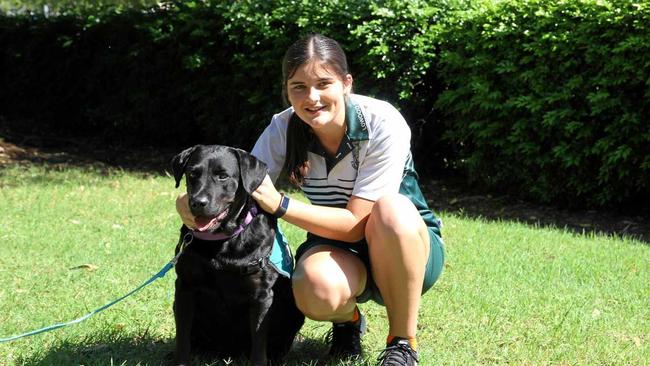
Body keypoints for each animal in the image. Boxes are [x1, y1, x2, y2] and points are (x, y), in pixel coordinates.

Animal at [171, 146, 306, 366]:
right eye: (192, 174)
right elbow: (182, 337)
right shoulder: (185, 286)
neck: (222, 240)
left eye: (223, 176)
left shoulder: (262, 296)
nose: (197, 202)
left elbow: (259, 344)